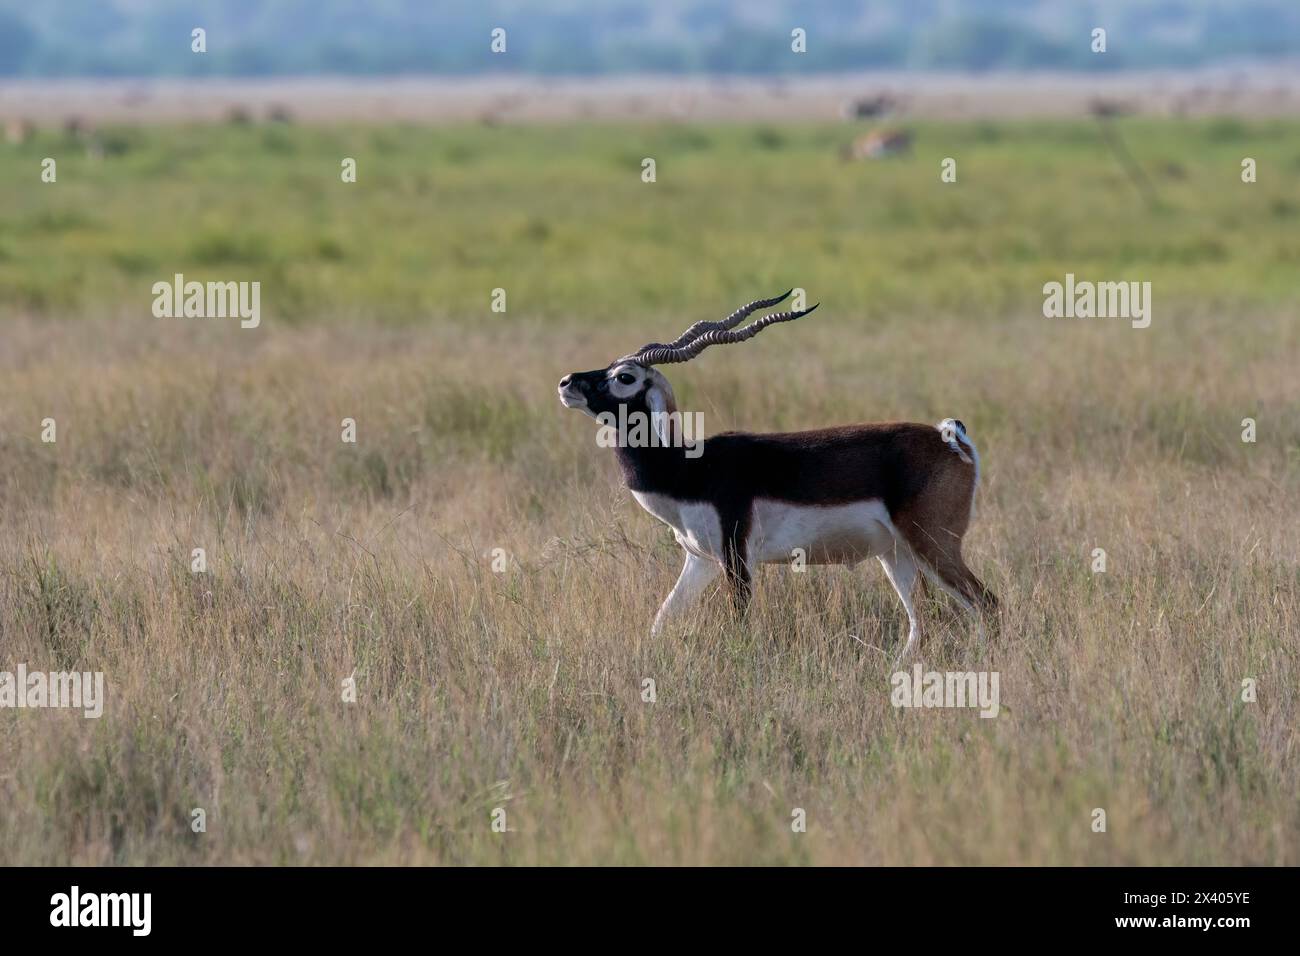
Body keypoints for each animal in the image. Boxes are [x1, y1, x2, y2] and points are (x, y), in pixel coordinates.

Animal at [556, 291, 993, 660]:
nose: (566, 382)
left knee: (986, 604)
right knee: (922, 622)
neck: (690, 468)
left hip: (934, 545)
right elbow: (660, 621)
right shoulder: (699, 560)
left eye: (624, 377)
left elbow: (740, 622)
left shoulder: (737, 557)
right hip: (897, 554)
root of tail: (951, 438)